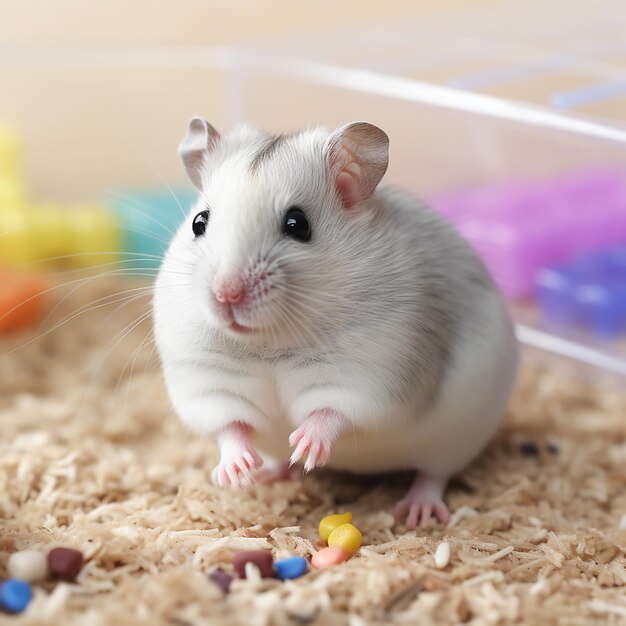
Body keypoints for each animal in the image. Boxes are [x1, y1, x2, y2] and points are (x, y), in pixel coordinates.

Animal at [154, 117, 520, 528]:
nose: (226, 295)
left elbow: (332, 412)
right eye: (199, 223)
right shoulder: (207, 385)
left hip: (455, 440)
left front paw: (306, 447)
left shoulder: (369, 378)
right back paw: (270, 472)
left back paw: (417, 511)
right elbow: (229, 426)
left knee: (433, 474)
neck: (269, 342)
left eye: (298, 224)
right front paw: (236, 473)